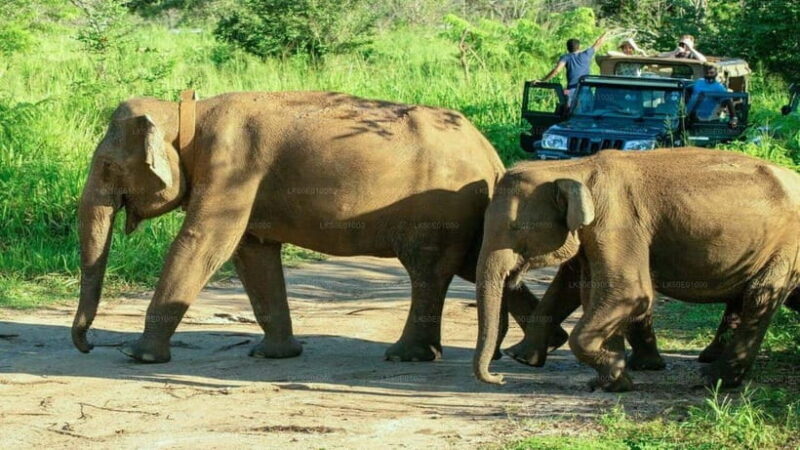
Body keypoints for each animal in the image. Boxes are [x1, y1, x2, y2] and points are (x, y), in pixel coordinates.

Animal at [71, 90, 570, 364]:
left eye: (109, 167)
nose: (88, 346)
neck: (186, 109)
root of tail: (491, 156)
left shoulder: (232, 166)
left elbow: (205, 243)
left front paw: (137, 356)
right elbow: (252, 252)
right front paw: (274, 355)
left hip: (442, 210)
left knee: (428, 272)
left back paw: (407, 355)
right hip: (468, 213)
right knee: (476, 265)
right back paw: (542, 346)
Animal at [473, 147, 800, 391]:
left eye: (515, 228)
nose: (499, 377)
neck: (574, 167)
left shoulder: (617, 221)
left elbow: (627, 292)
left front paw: (617, 377)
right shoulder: (593, 231)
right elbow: (577, 289)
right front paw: (527, 360)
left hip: (786, 245)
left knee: (760, 295)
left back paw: (712, 380)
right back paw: (704, 362)